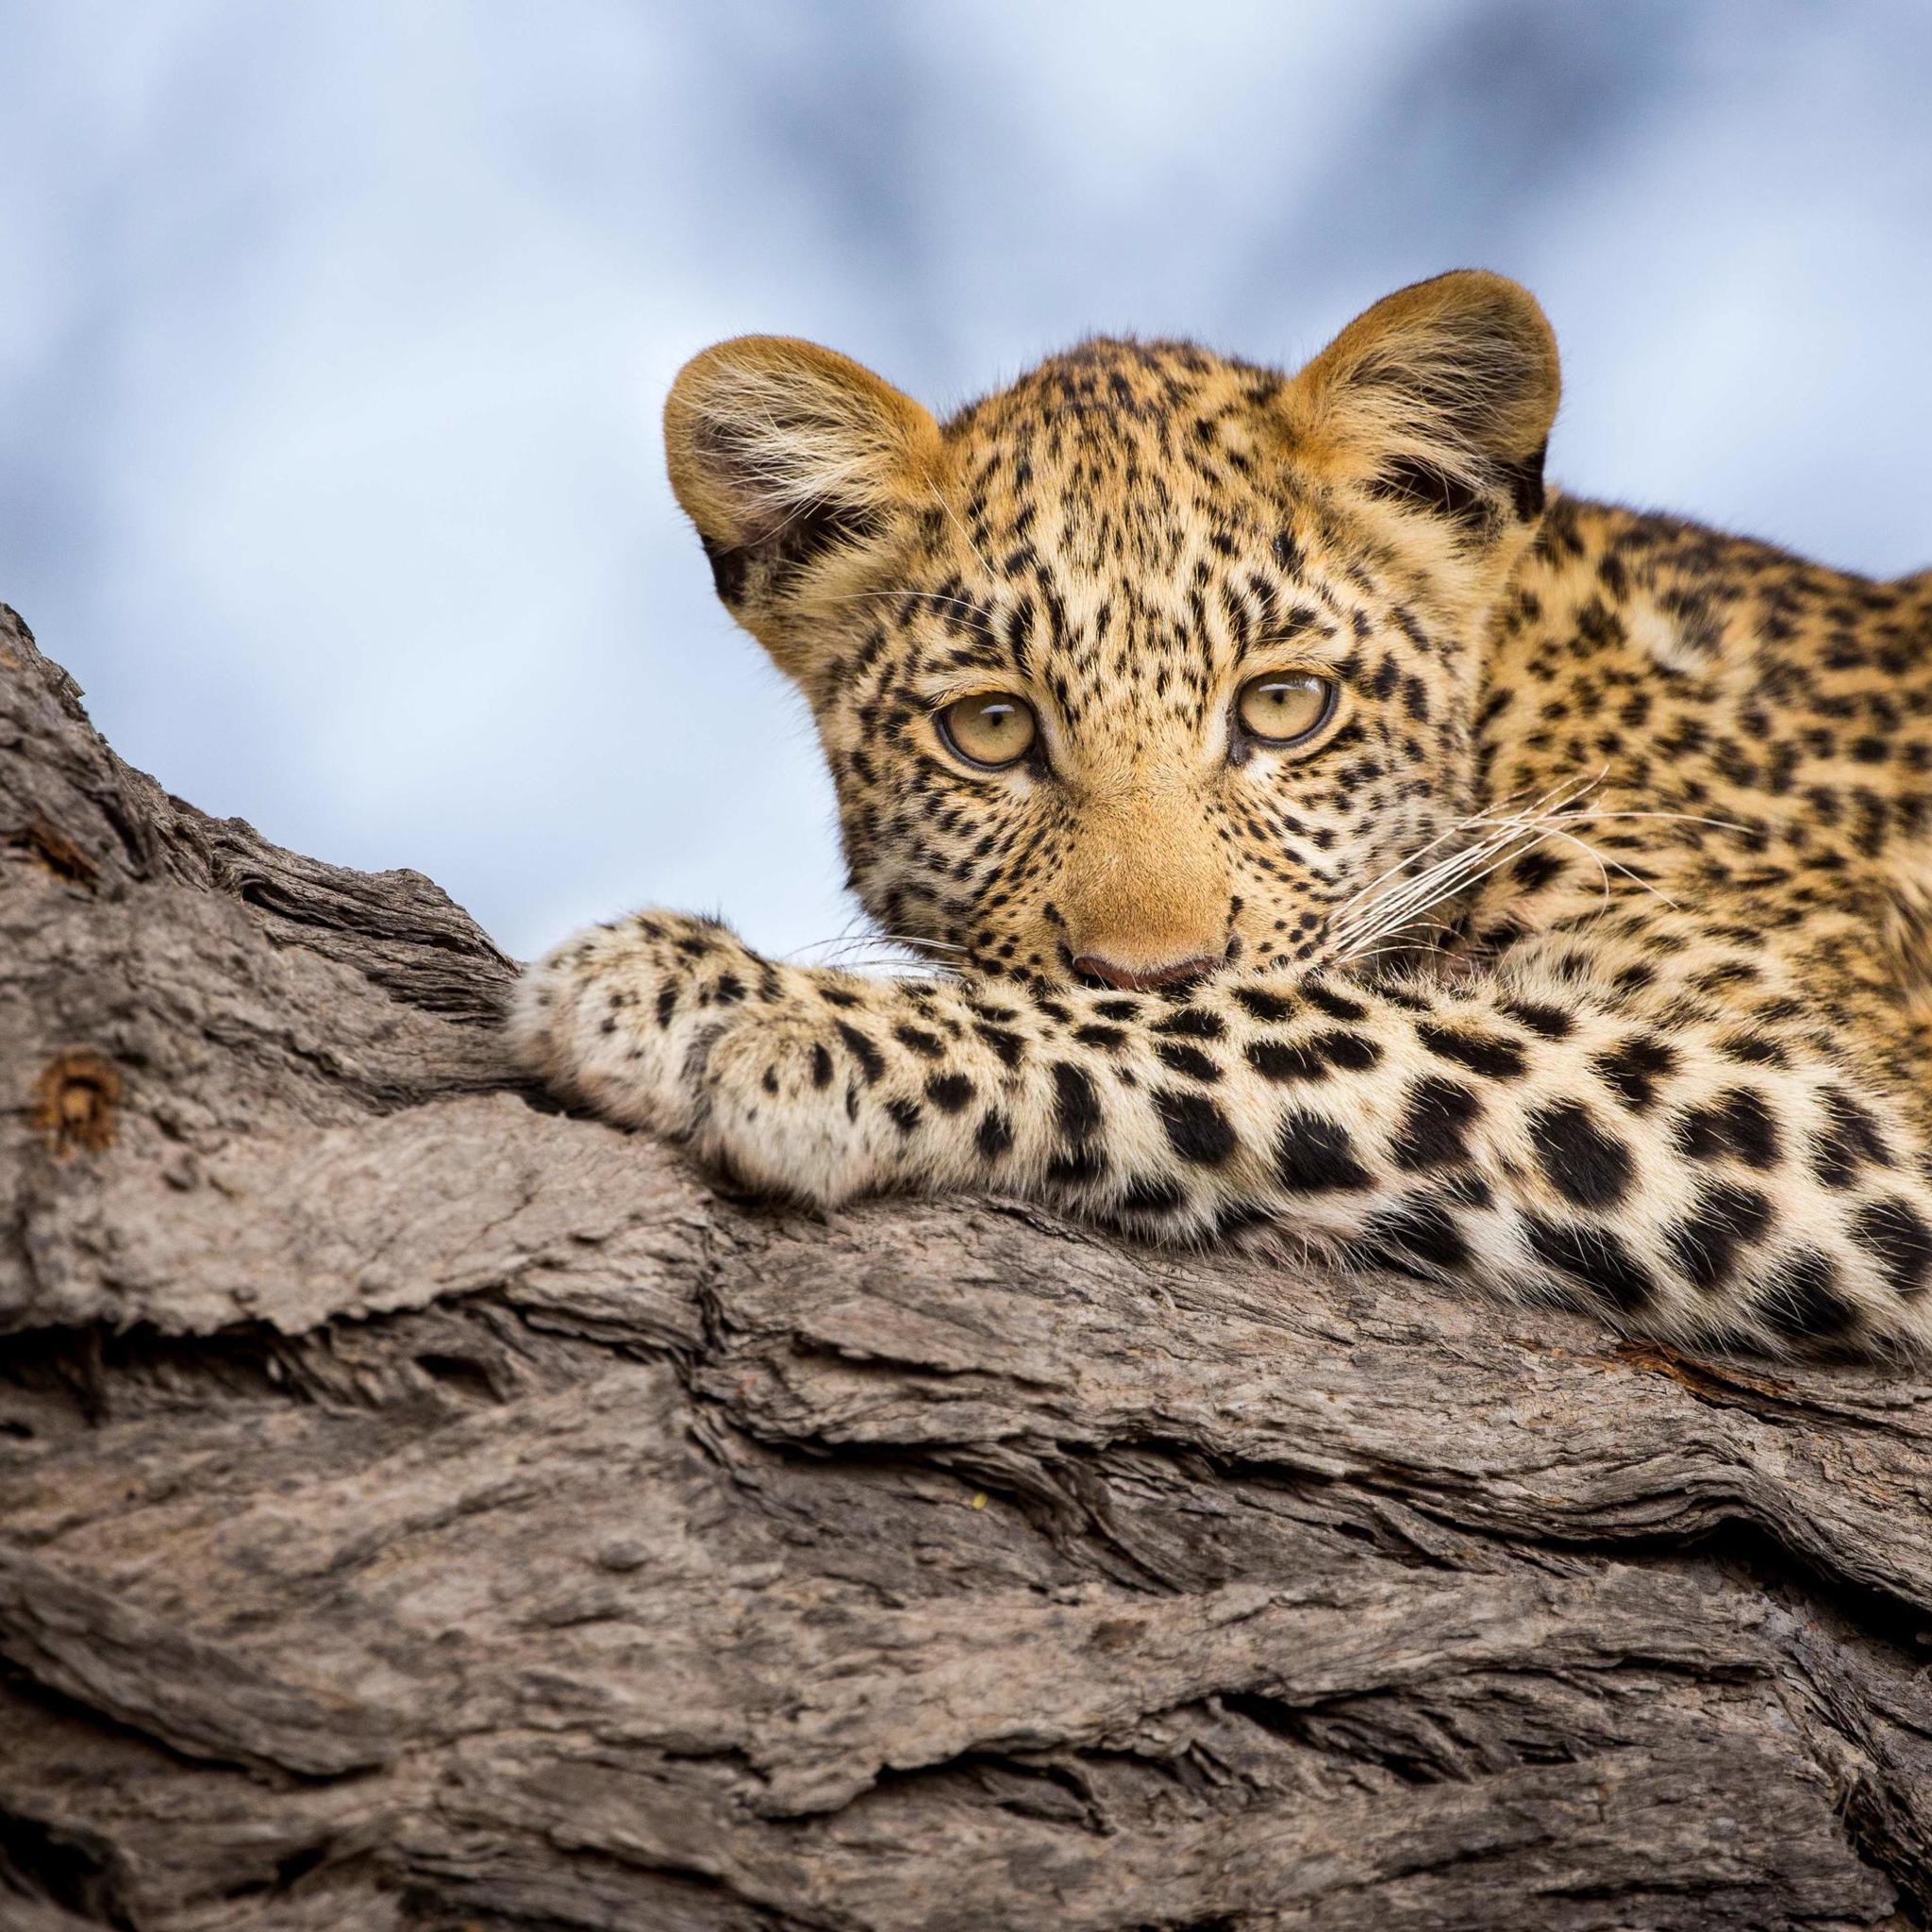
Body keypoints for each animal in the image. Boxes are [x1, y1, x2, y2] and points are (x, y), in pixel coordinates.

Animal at [509, 268, 1932, 1359]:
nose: (1152, 957)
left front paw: (745, 1004)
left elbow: (1266, 1027)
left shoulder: (1851, 1111)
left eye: (1284, 707)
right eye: (991, 730)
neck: (1516, 709)